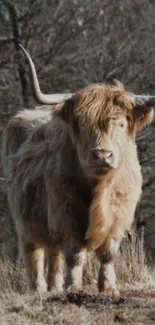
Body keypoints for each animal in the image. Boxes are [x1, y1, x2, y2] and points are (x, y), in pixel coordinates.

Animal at [1, 44, 155, 294]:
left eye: (121, 123)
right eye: (82, 125)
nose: (102, 155)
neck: (100, 187)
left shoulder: (120, 213)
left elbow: (108, 255)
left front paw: (108, 288)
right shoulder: (67, 212)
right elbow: (74, 254)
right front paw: (73, 286)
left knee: (54, 253)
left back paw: (54, 287)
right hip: (24, 218)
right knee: (34, 252)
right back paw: (39, 288)